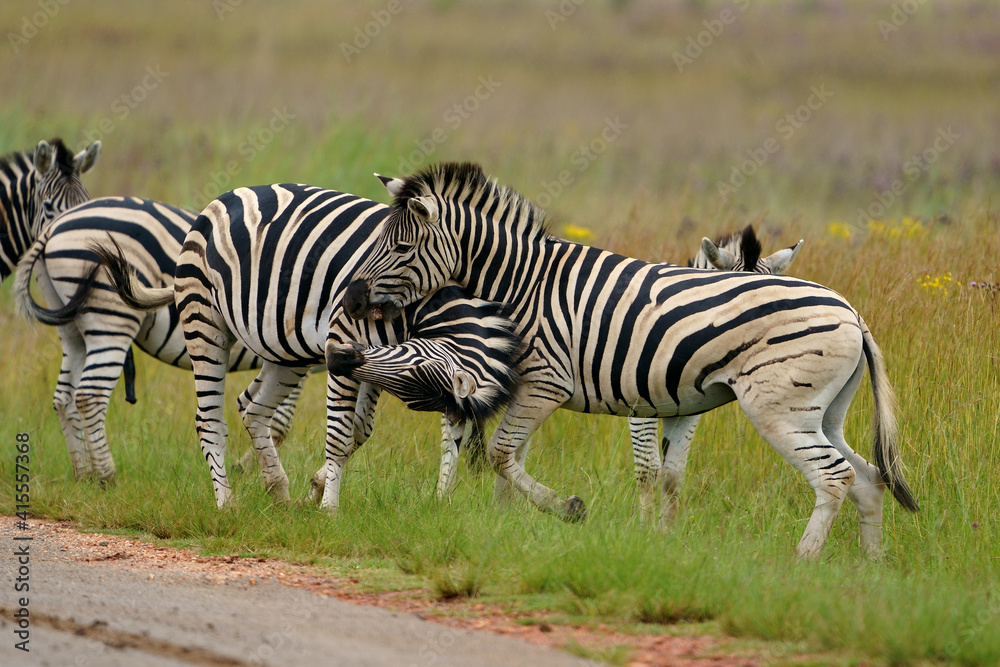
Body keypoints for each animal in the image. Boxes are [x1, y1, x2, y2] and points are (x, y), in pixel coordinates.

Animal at [13, 197, 305, 481]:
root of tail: (52, 228)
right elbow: (280, 422)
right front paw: (247, 468)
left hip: (71, 328)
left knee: (64, 398)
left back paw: (83, 474)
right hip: (112, 318)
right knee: (90, 395)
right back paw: (107, 476)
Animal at [83, 183, 524, 513]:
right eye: (419, 386)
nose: (442, 504)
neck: (420, 300)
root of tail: (227, 196)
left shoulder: (369, 359)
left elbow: (359, 430)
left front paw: (315, 487)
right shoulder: (347, 339)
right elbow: (341, 432)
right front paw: (328, 507)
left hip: (285, 346)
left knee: (253, 407)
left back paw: (278, 490)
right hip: (203, 317)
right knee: (209, 418)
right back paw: (226, 504)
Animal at [629, 224, 805, 526]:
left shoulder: (688, 411)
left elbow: (673, 474)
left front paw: (665, 531)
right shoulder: (637, 405)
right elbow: (647, 469)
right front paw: (642, 529)